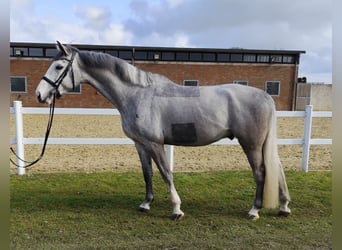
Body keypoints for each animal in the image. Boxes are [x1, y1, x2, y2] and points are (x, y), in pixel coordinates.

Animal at [36, 41, 290, 221]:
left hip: (251, 144)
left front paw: (177, 209)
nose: (40, 94)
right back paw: (284, 206)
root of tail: (265, 96)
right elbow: (147, 173)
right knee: (277, 168)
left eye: (59, 66)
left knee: (261, 172)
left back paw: (254, 211)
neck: (137, 94)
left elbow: (166, 173)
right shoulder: (140, 144)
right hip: (261, 144)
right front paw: (146, 204)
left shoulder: (155, 143)